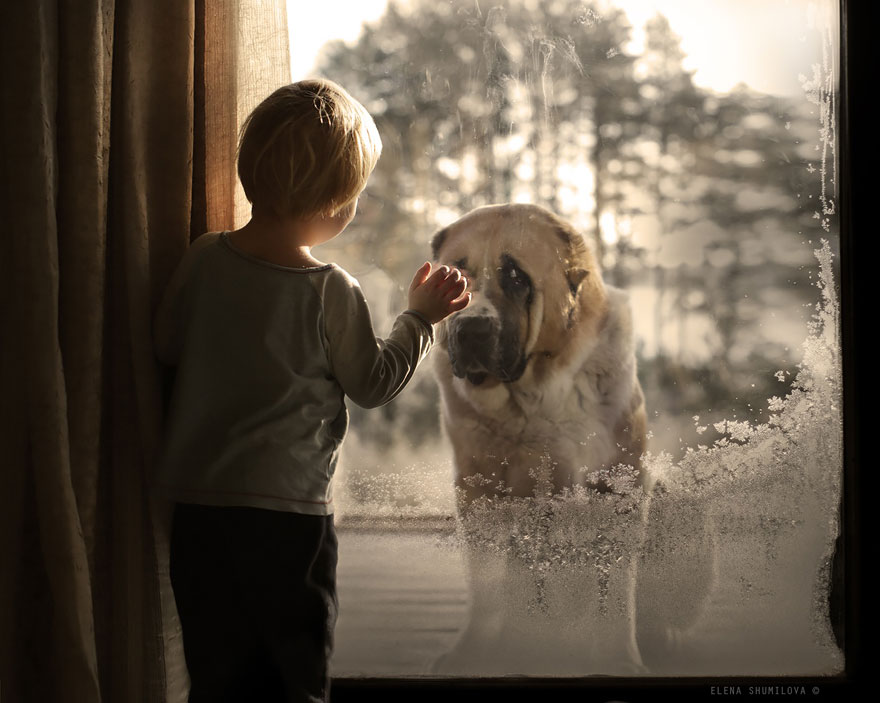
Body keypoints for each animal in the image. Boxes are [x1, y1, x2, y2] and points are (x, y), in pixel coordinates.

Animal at [432, 204, 648, 676]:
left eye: (516, 277)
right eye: (455, 275)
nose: (470, 329)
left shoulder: (617, 484)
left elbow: (615, 585)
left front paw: (618, 659)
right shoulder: (479, 485)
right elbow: (489, 580)